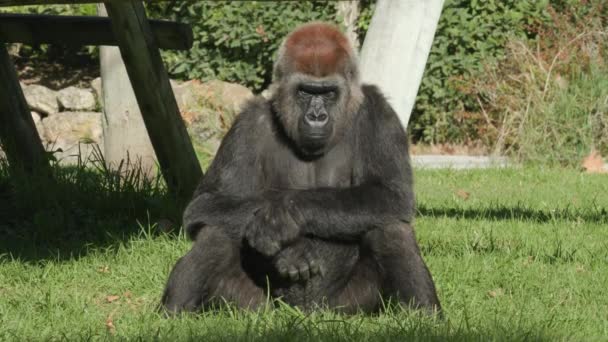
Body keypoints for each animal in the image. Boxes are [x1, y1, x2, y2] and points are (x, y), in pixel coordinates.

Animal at [159, 22, 440, 314]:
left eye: (328, 92)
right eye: (305, 91)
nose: (317, 117)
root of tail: (308, 313)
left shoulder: (379, 111)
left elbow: (392, 195)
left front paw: (284, 214)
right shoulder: (247, 123)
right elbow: (205, 203)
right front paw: (286, 249)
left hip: (347, 307)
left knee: (391, 228)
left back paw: (422, 315)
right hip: (256, 308)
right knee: (216, 231)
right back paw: (175, 312)